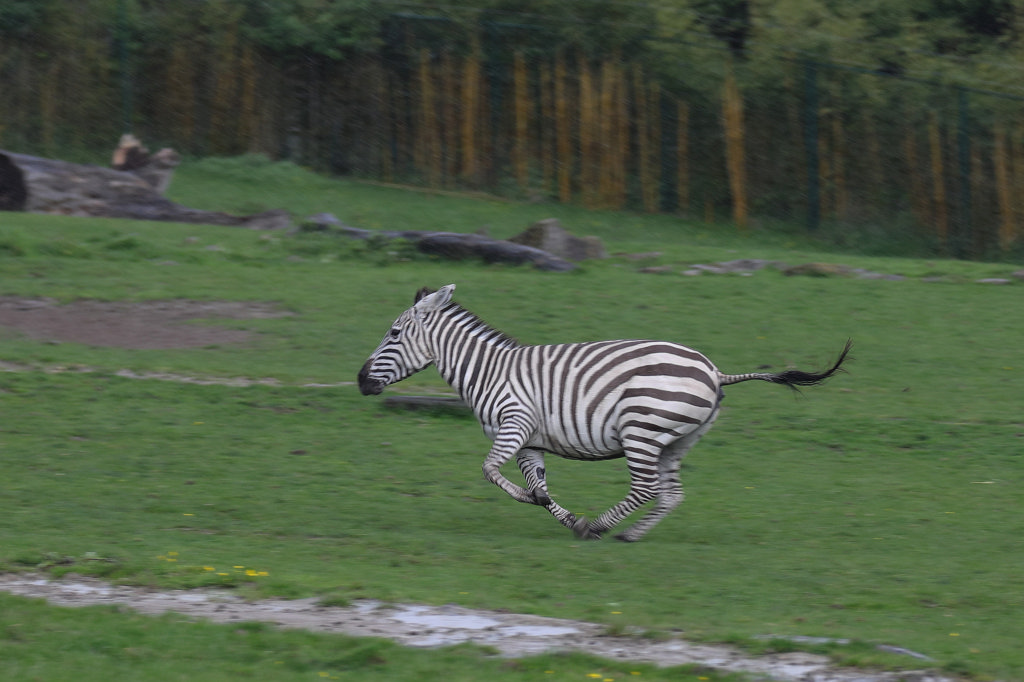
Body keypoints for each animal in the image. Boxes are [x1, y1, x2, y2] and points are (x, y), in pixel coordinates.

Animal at [358, 284, 850, 542]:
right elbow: (538, 483)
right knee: (671, 494)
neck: (490, 371)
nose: (361, 381)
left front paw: (561, 514)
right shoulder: (530, 440)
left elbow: (488, 471)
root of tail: (714, 370)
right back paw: (627, 534)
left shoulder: (514, 425)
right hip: (676, 440)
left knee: (646, 488)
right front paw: (557, 511)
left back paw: (599, 526)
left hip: (642, 429)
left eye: (394, 333)